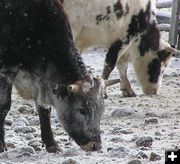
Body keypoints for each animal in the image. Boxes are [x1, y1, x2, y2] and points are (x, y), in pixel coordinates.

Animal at [0, 0, 118, 153]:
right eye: (82, 109)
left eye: (101, 110)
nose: (95, 145)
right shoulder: (6, 68)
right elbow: (4, 105)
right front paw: (1, 145)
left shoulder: (41, 80)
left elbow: (44, 109)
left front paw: (51, 143)